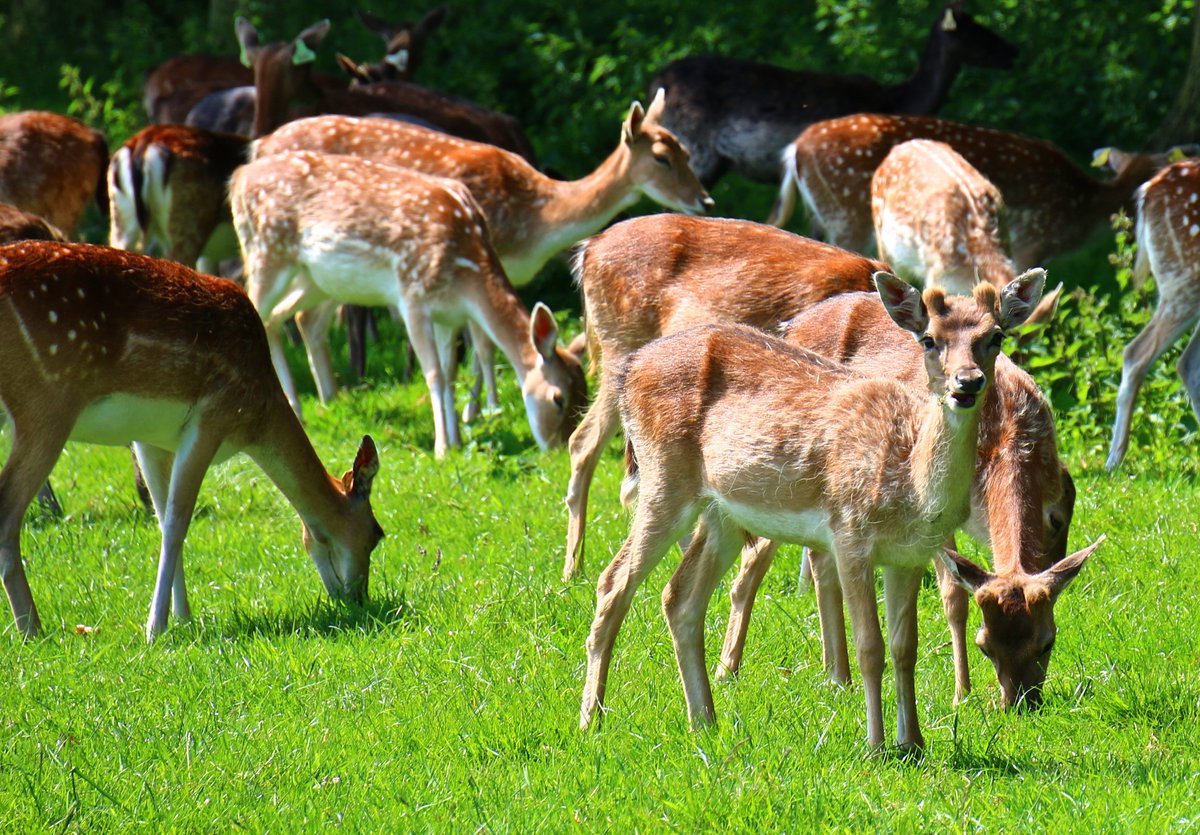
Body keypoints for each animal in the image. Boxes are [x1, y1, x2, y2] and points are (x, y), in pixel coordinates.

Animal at [0, 241, 385, 642]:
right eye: (377, 534)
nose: (359, 598)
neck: (257, 417)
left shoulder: (150, 439)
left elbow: (161, 515)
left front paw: (183, 619)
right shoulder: (212, 416)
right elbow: (177, 523)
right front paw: (155, 628)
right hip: (46, 403)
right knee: (8, 509)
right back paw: (31, 629)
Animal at [229, 150, 586, 458]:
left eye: (584, 394)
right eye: (557, 398)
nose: (557, 449)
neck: (466, 273)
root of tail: (238, 177)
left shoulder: (449, 316)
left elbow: (450, 372)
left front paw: (457, 440)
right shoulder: (412, 297)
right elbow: (434, 374)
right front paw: (442, 448)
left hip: (313, 278)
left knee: (282, 318)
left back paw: (308, 405)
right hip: (266, 250)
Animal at [581, 273, 1047, 752]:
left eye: (995, 336)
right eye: (929, 339)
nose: (966, 383)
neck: (910, 485)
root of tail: (630, 368)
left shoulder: (909, 554)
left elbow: (905, 647)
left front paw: (913, 743)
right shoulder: (850, 533)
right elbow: (870, 645)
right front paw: (876, 746)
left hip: (722, 514)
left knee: (679, 596)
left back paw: (705, 721)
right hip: (664, 479)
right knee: (613, 582)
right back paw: (591, 719)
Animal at [716, 290, 1102, 710]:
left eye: (1048, 641)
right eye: (985, 645)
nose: (1021, 704)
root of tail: (792, 325)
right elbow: (954, 595)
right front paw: (961, 694)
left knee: (818, 559)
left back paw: (836, 674)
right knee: (756, 559)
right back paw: (729, 671)